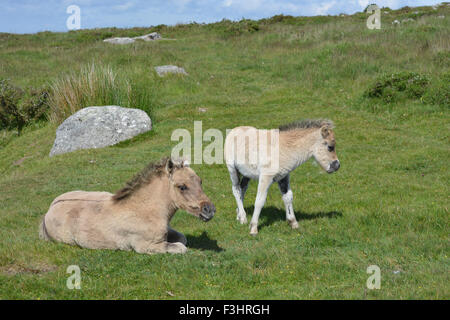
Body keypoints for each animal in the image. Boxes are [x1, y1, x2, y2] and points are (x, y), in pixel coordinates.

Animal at [39, 156, 215, 254]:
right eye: (182, 187)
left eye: (200, 181)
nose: (209, 210)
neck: (144, 210)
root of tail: (49, 210)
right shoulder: (147, 246)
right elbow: (181, 247)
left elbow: (182, 238)